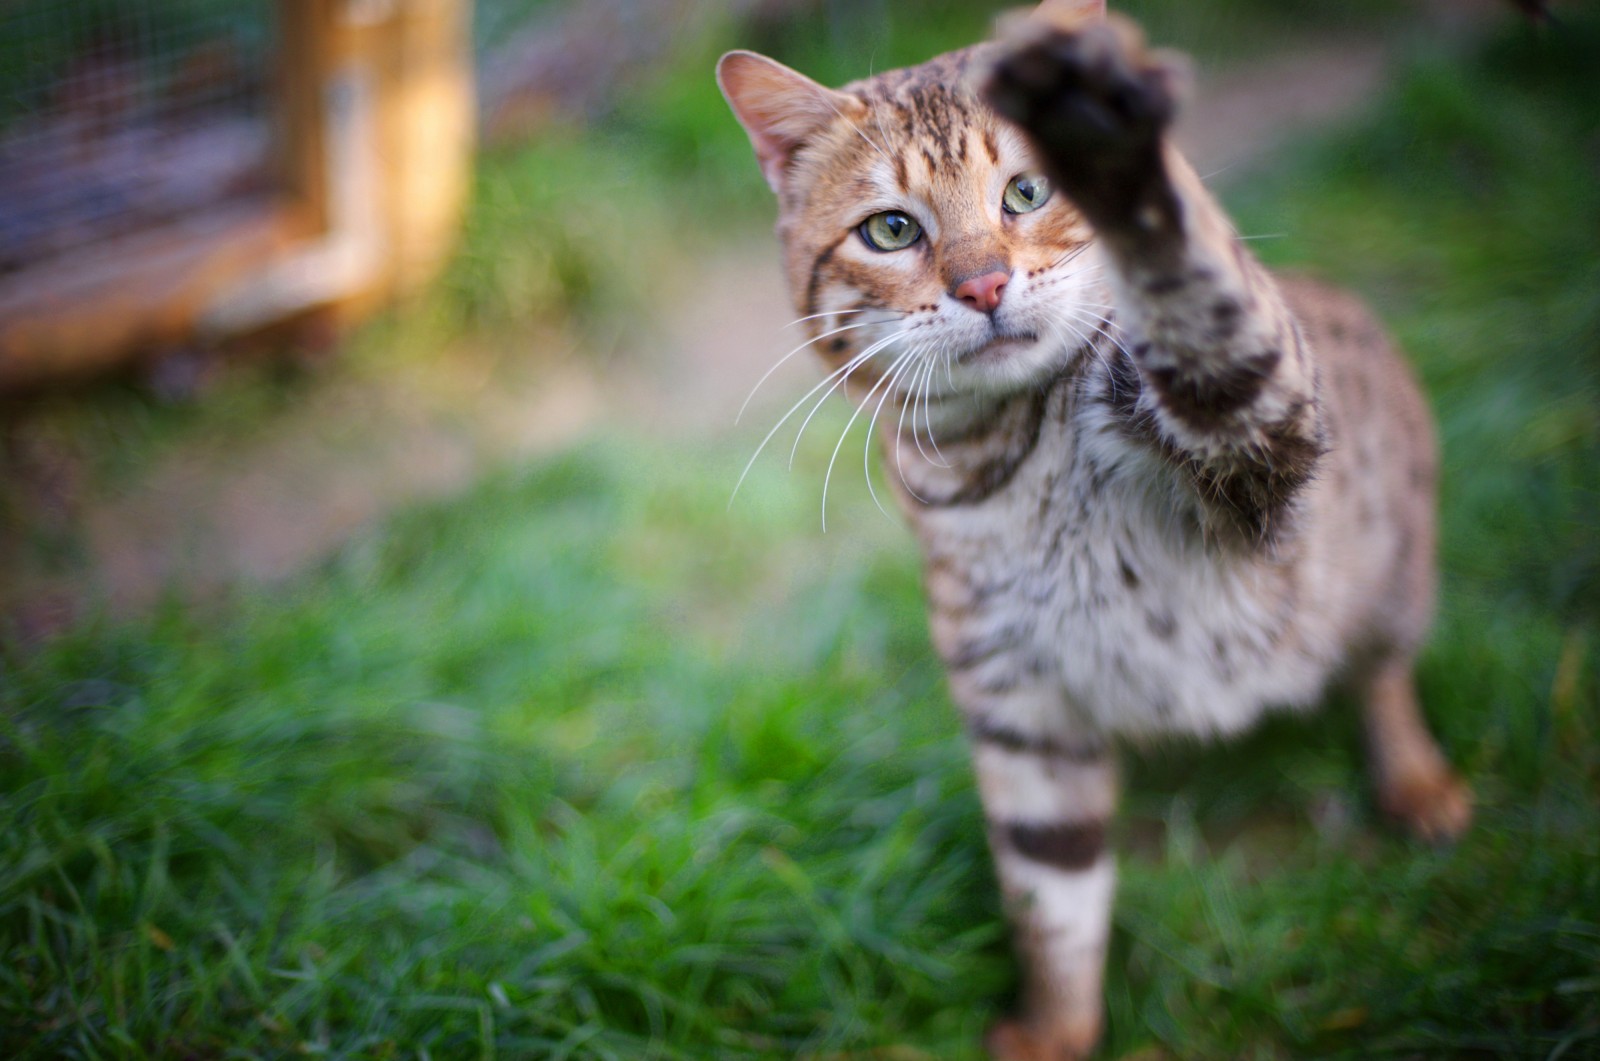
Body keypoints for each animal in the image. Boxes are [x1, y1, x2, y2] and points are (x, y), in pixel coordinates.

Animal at [720, 4, 1465, 1056]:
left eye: (1029, 191)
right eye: (892, 229)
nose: (984, 286)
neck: (1005, 462)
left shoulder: (1257, 435)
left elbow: (1200, 289)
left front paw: (1109, 142)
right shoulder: (1021, 708)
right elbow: (1052, 898)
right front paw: (1056, 1029)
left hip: (1394, 568)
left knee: (1384, 673)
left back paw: (1416, 779)